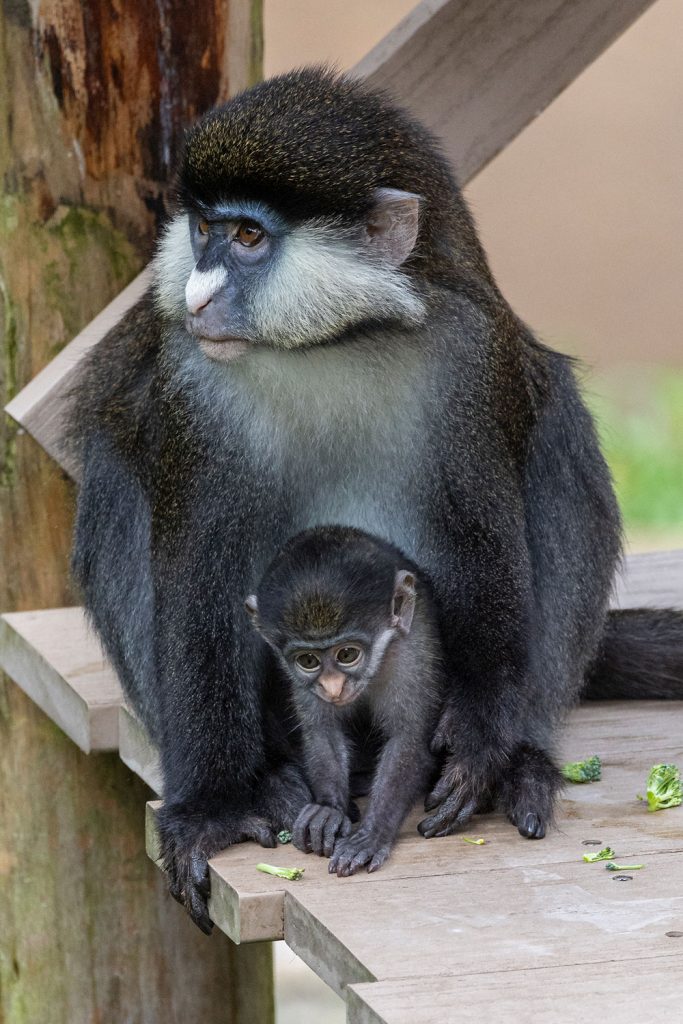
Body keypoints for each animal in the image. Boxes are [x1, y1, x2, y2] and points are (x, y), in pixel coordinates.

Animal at [245, 528, 444, 872]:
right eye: (308, 660)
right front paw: (329, 810)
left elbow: (409, 739)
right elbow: (323, 731)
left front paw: (373, 833)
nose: (333, 687)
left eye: (347, 654)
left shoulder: (413, 649)